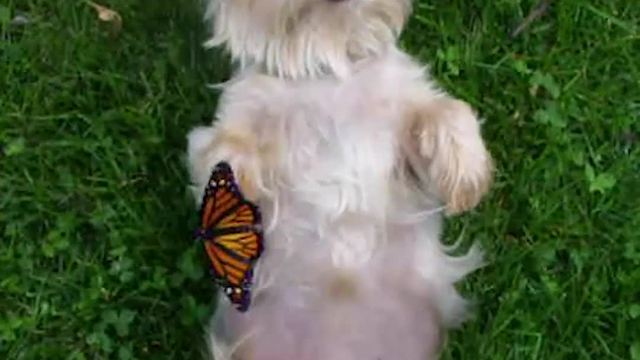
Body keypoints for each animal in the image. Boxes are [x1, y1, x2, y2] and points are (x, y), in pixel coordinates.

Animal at [186, 0, 496, 358]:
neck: (329, 66)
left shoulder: (406, 124)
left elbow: (450, 112)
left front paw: (468, 175)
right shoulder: (234, 122)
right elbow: (225, 152)